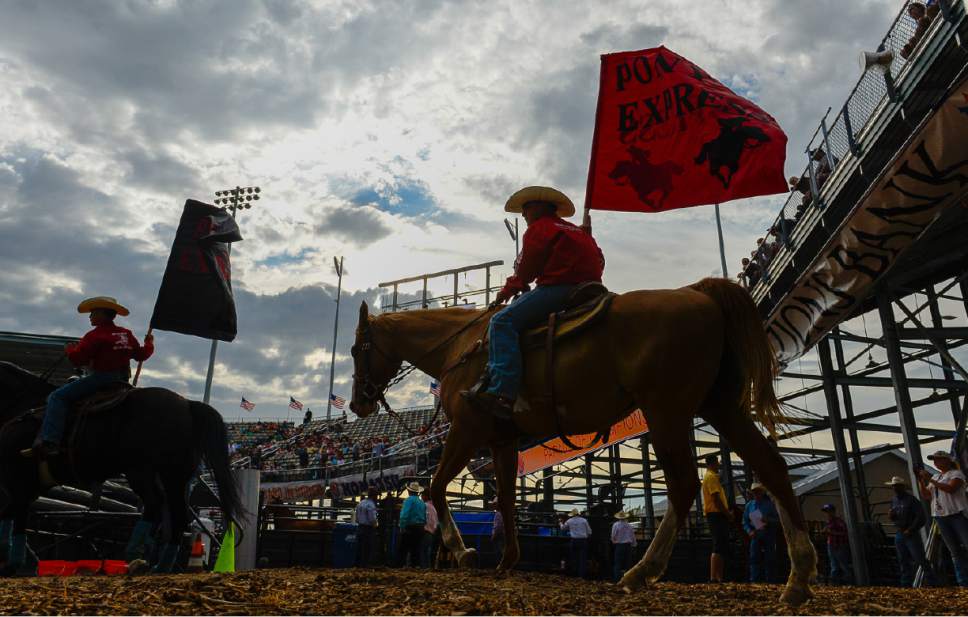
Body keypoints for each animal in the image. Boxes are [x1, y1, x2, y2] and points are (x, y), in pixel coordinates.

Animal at [0, 360, 241, 572]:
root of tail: (188, 404)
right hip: (172, 476)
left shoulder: (19, 482)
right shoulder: (28, 489)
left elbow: (15, 518)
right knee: (174, 515)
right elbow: (10, 515)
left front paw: (12, 563)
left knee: (158, 506)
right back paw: (153, 563)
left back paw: (140, 557)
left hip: (146, 472)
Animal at [348, 276, 816, 604]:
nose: (357, 403)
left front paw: (464, 553)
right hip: (720, 407)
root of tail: (697, 293)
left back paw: (641, 571)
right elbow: (505, 500)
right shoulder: (501, 440)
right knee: (771, 466)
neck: (462, 347)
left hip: (667, 411)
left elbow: (436, 487)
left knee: (683, 484)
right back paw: (798, 580)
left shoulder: (467, 430)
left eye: (355, 350)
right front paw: (507, 559)